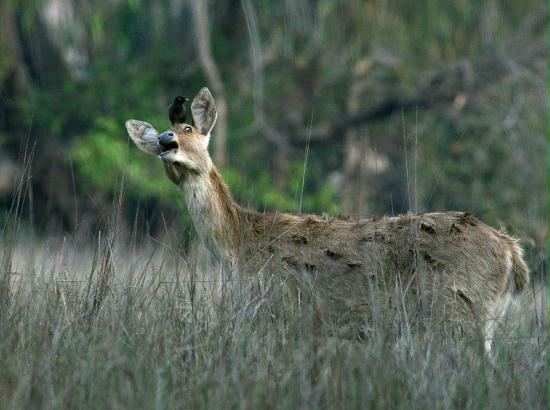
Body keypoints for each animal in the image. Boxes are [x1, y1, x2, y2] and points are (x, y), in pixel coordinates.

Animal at [126, 87, 532, 356]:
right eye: (161, 137)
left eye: (189, 131)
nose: (166, 140)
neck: (239, 245)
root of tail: (512, 252)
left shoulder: (283, 308)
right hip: (481, 316)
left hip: (459, 309)